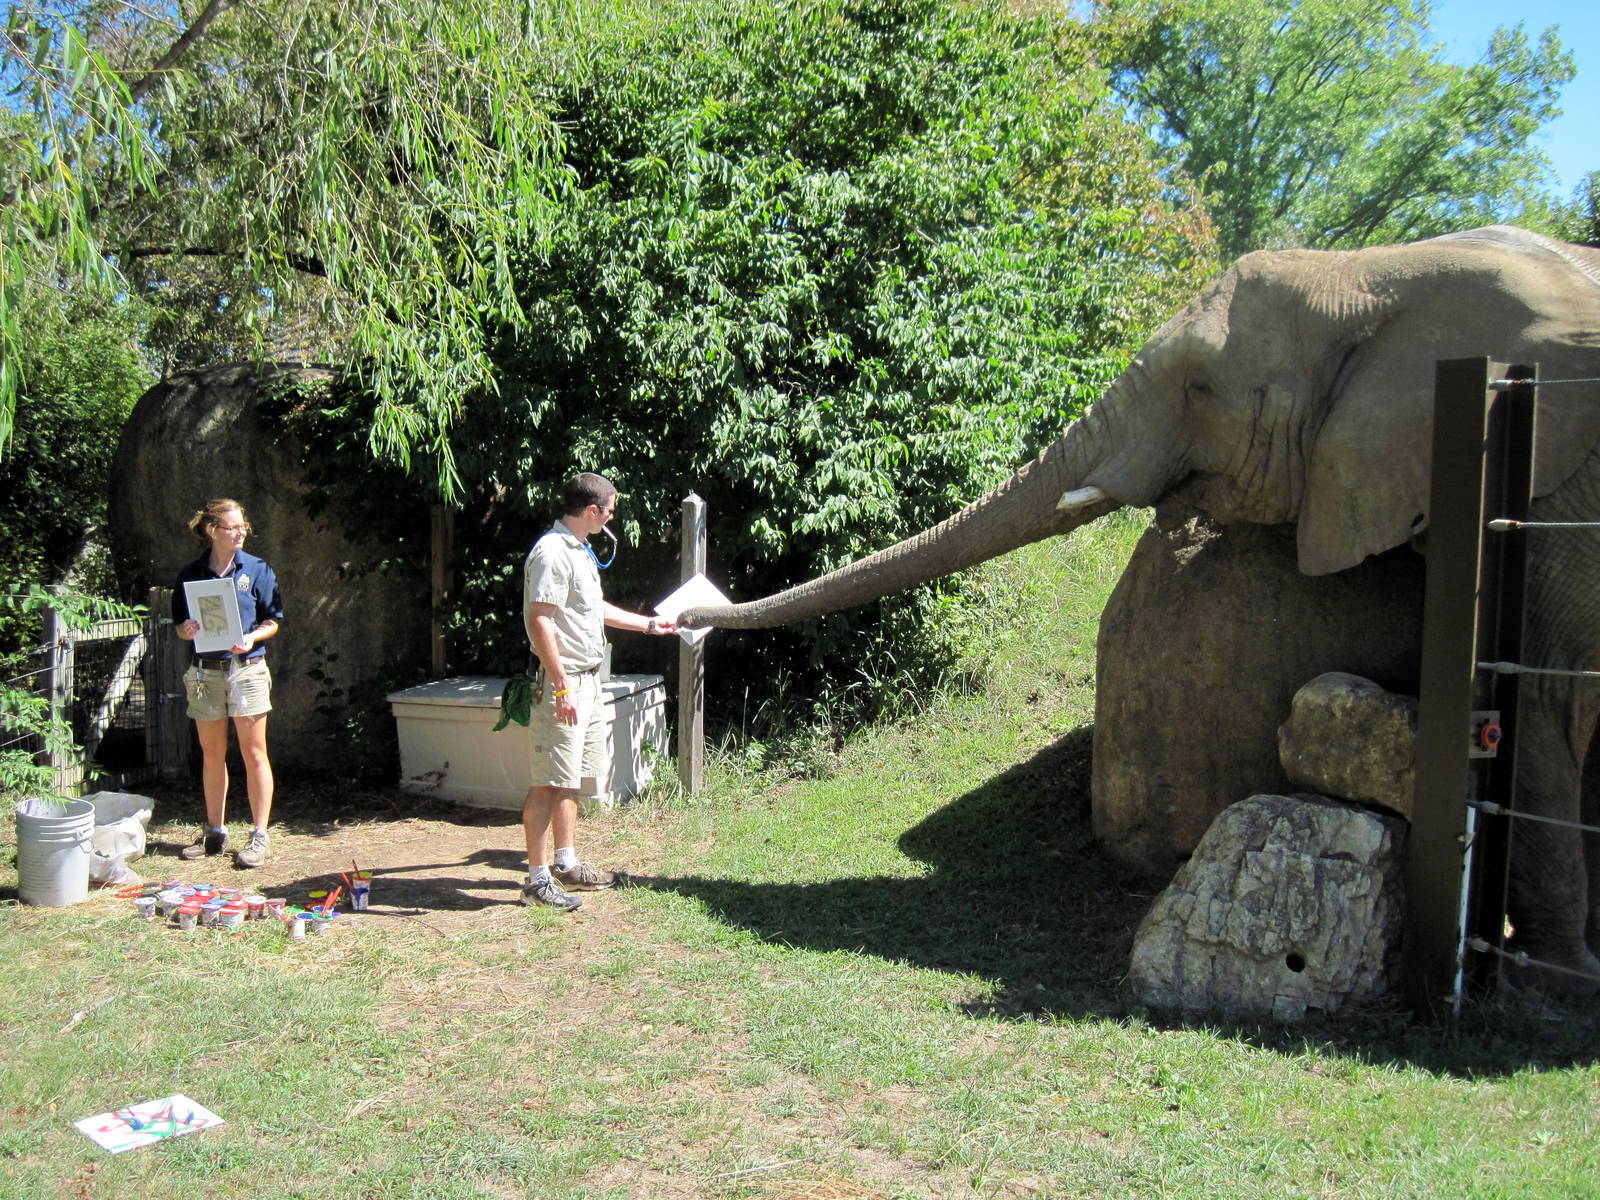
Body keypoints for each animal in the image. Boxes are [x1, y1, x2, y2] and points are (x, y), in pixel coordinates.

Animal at [681, 225, 1600, 998]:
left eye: (1199, 386)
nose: (691, 617)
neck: (1381, 273)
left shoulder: (1552, 497)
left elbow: (1535, 701)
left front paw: (1554, 982)